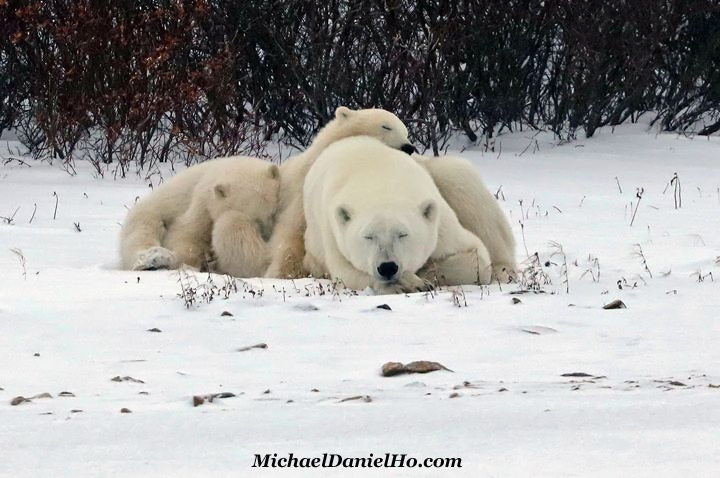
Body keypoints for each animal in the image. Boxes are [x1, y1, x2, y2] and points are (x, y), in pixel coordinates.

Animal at [262, 106, 416, 278]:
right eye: (386, 126)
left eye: (405, 132)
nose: (408, 147)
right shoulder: (298, 198)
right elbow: (290, 235)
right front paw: (284, 273)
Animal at [304, 135, 496, 296]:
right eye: (368, 236)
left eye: (403, 234)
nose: (387, 267)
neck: (381, 180)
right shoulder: (333, 233)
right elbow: (346, 272)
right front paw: (409, 283)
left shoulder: (441, 224)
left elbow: (477, 257)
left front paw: (423, 275)